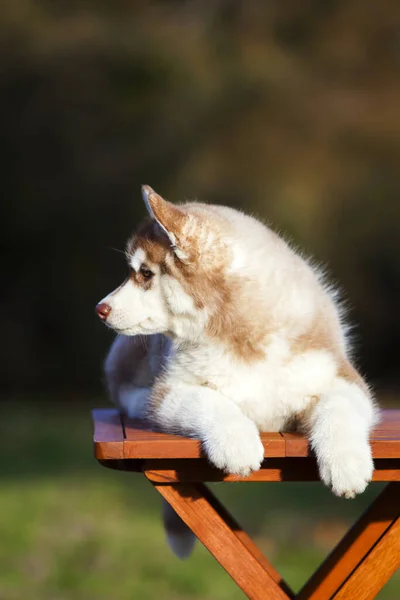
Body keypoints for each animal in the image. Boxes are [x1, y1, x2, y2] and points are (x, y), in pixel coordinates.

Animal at [95, 186, 376, 556]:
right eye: (135, 272)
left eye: (145, 274)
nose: (99, 309)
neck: (240, 335)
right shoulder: (169, 391)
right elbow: (210, 402)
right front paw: (237, 444)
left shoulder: (342, 377)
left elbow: (338, 408)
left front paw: (347, 464)